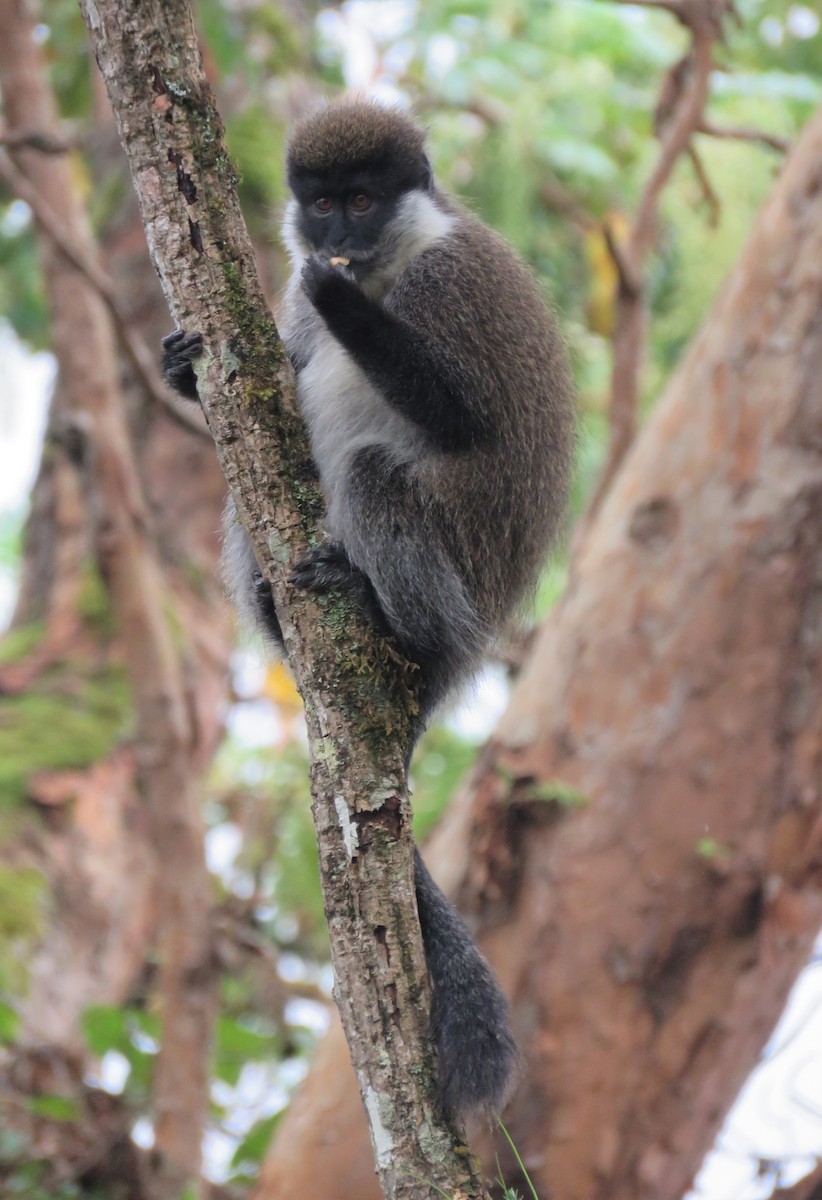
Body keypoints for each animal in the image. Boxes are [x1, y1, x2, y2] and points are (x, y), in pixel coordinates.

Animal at [162, 98, 575, 1122]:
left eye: (361, 200)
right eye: (321, 202)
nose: (334, 240)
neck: (395, 258)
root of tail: (457, 657)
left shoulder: (447, 284)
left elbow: (465, 419)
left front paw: (344, 305)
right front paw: (181, 367)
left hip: (452, 580)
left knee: (378, 470)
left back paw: (389, 622)